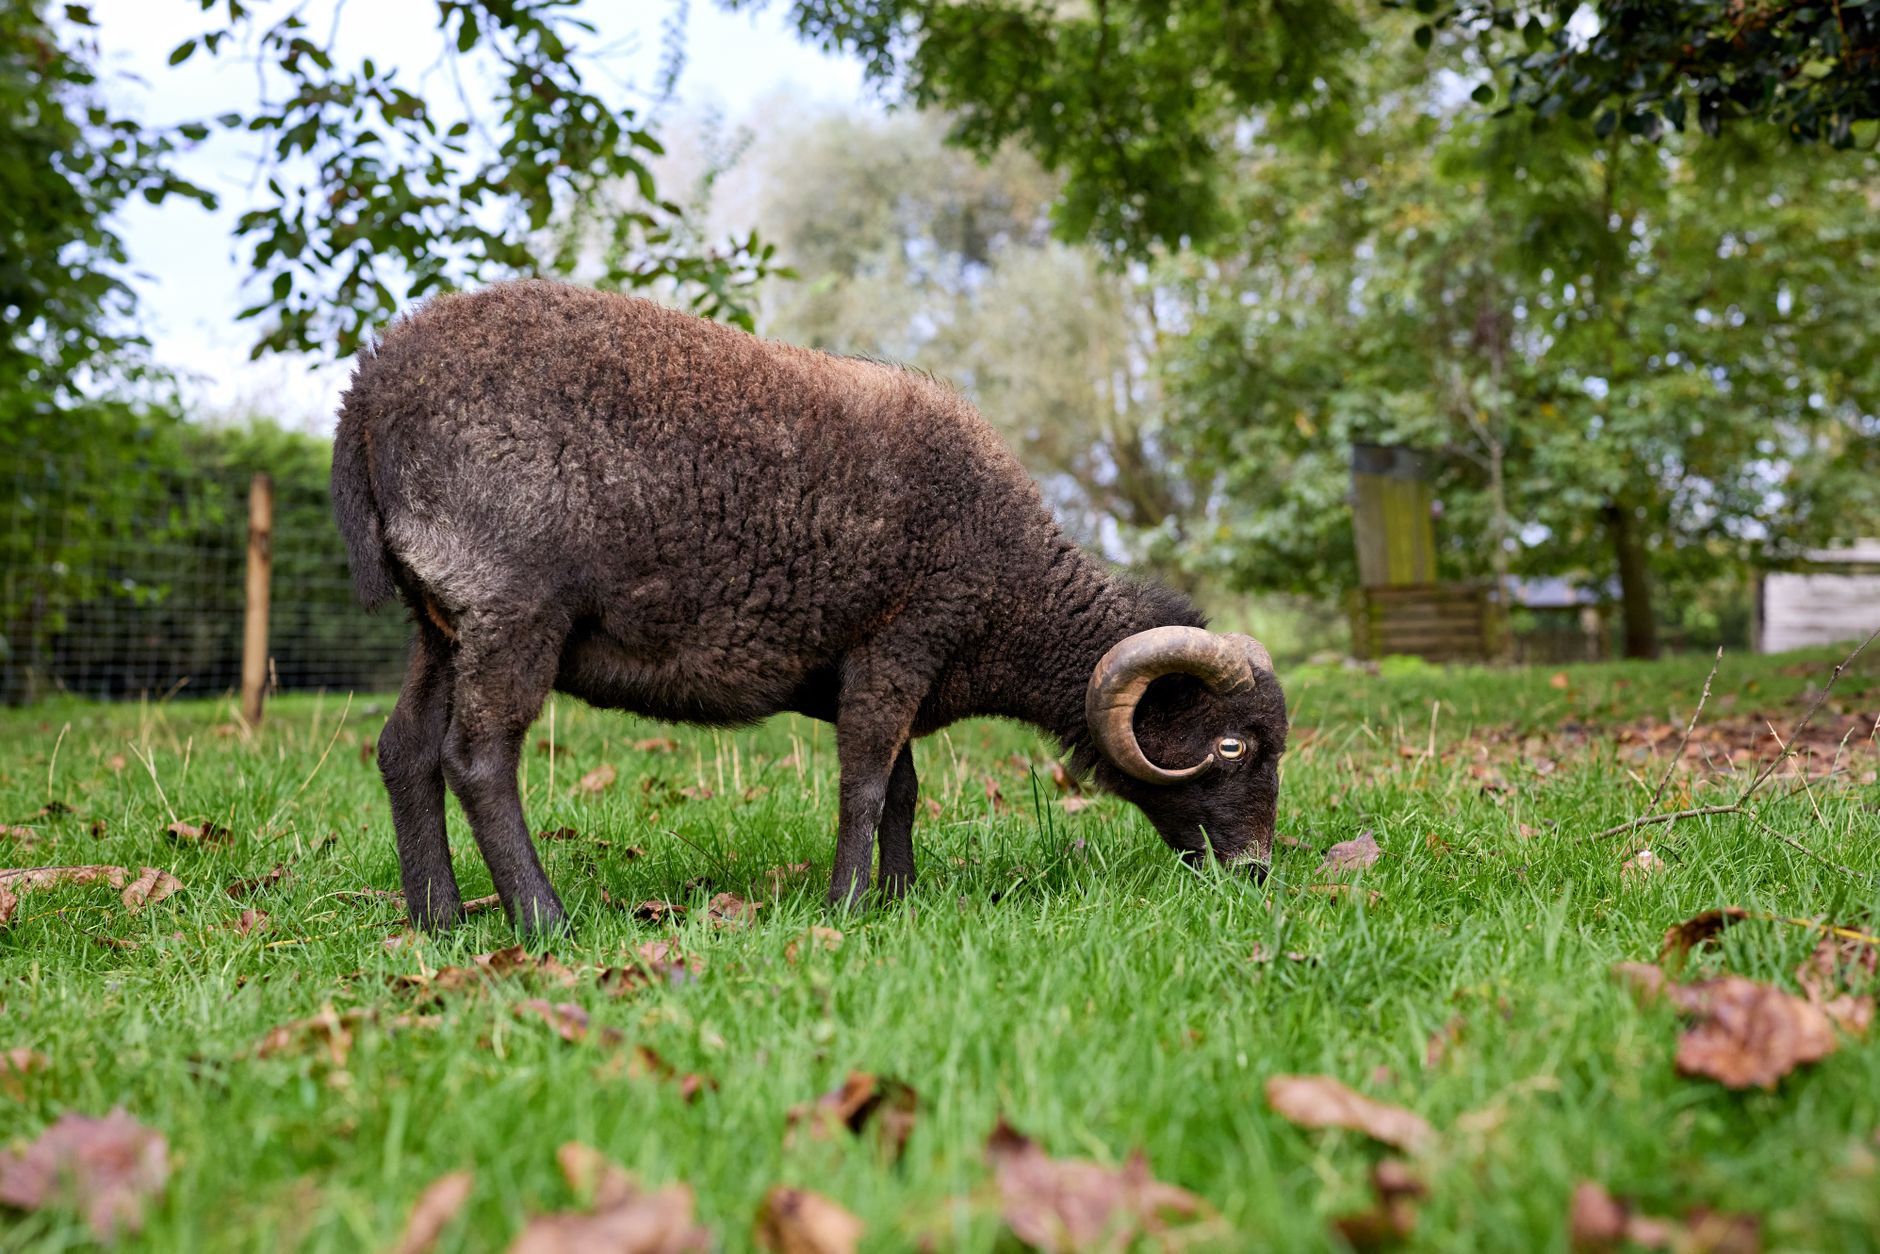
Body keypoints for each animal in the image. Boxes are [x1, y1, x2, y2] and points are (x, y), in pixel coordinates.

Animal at [331, 279, 1287, 936]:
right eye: (1232, 745)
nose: (1254, 874)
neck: (1013, 597)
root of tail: (368, 392)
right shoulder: (905, 634)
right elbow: (863, 783)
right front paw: (849, 905)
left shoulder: (884, 665)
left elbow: (902, 787)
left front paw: (900, 895)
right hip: (512, 607)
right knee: (477, 760)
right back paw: (544, 921)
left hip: (440, 624)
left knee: (403, 750)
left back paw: (438, 919)